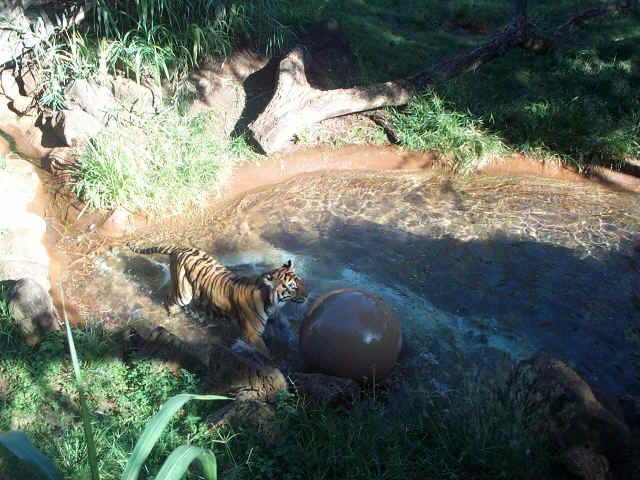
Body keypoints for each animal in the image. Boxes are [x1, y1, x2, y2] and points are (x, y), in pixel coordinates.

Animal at [126, 246, 308, 358]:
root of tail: (178, 248)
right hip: (184, 293)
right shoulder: (252, 335)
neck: (271, 302)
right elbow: (266, 354)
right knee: (169, 297)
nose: (308, 295)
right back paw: (174, 313)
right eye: (292, 287)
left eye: (300, 281)